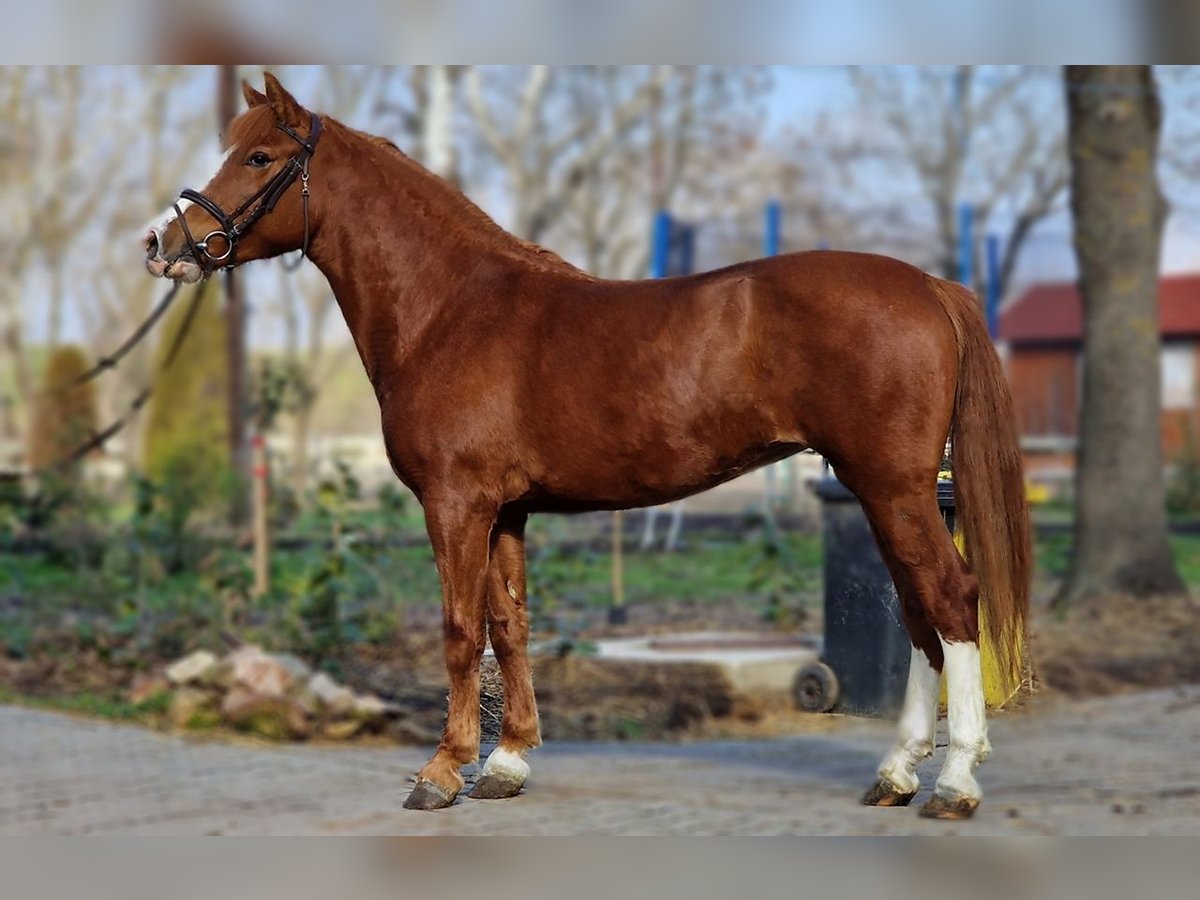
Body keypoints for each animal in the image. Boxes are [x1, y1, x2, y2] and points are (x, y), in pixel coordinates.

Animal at [145, 75, 1032, 825]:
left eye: (259, 157)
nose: (164, 243)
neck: (450, 308)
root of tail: (931, 287)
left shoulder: (455, 504)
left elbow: (459, 630)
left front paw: (443, 771)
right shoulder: (506, 511)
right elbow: (510, 625)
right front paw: (506, 764)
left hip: (893, 487)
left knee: (951, 602)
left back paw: (954, 782)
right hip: (886, 492)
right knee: (919, 615)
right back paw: (896, 773)